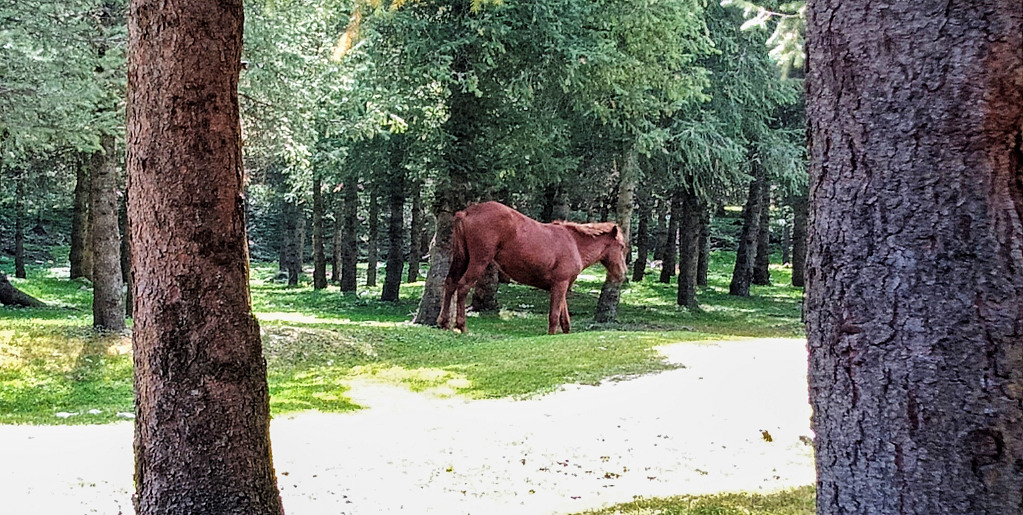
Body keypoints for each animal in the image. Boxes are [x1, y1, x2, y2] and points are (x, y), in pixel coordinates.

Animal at [437, 201, 626, 333]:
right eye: (622, 246)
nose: (623, 274)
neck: (574, 243)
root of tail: (466, 212)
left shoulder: (561, 286)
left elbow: (564, 320)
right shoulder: (560, 285)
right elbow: (554, 317)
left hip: (462, 259)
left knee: (450, 283)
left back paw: (444, 323)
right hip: (478, 261)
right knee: (462, 287)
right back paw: (462, 326)